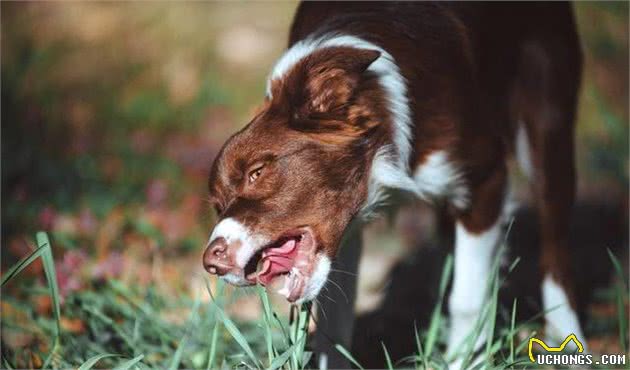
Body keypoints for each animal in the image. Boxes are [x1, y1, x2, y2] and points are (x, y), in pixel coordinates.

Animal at [205, 2, 584, 368]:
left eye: (257, 172)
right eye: (218, 205)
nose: (212, 262)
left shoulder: (485, 181)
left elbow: (466, 299)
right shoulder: (349, 231)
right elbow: (334, 326)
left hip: (547, 118)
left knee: (555, 246)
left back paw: (567, 337)